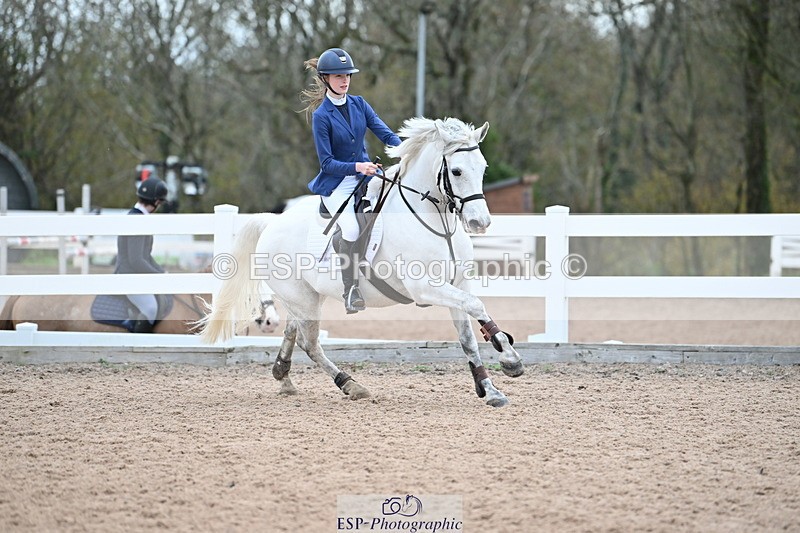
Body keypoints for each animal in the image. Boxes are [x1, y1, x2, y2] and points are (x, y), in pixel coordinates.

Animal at [199, 117, 524, 407]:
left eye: (482, 168)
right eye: (456, 171)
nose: (480, 223)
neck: (435, 222)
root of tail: (271, 222)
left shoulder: (457, 284)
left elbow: (468, 333)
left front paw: (491, 386)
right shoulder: (426, 288)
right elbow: (476, 306)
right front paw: (509, 357)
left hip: (307, 296)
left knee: (293, 331)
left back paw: (284, 376)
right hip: (301, 298)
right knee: (310, 343)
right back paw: (350, 384)